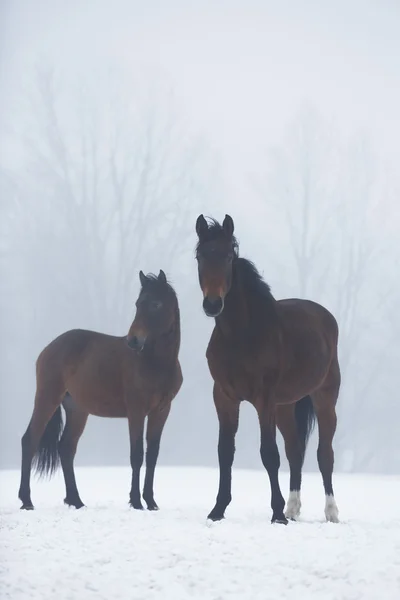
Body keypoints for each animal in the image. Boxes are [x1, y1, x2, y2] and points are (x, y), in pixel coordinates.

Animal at [18, 270, 181, 510]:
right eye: (138, 304)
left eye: (156, 304)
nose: (133, 340)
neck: (156, 363)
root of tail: (49, 348)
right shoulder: (136, 411)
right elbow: (136, 455)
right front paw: (136, 501)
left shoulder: (161, 411)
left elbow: (152, 455)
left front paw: (151, 502)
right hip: (47, 398)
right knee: (30, 440)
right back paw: (27, 500)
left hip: (77, 410)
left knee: (66, 448)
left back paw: (76, 500)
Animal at [194, 216, 340, 524]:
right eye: (200, 256)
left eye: (228, 257)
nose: (212, 304)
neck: (241, 335)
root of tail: (325, 316)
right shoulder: (224, 397)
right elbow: (225, 452)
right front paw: (218, 509)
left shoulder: (264, 400)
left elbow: (269, 454)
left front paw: (276, 513)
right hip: (286, 406)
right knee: (295, 452)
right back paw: (293, 509)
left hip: (324, 398)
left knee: (325, 454)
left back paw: (331, 512)